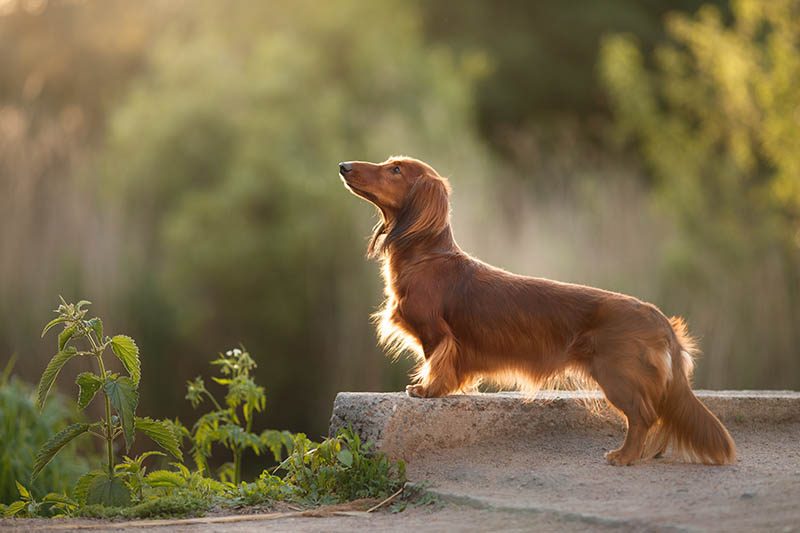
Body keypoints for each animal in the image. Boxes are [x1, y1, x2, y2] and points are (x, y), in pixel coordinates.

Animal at [334, 156, 736, 464]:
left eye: (395, 170)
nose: (343, 166)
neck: (427, 257)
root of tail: (660, 319)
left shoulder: (436, 333)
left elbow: (436, 363)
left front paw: (426, 389)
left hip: (617, 375)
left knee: (643, 417)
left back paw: (624, 456)